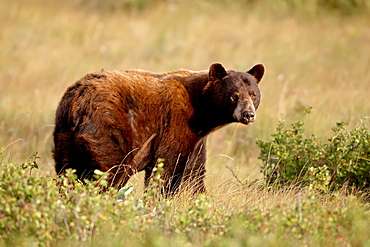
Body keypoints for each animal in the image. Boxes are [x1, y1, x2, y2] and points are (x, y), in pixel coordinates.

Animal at [53, 62, 264, 194]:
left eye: (253, 94)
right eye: (234, 95)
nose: (248, 114)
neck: (201, 113)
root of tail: (78, 102)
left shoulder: (197, 140)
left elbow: (195, 174)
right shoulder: (175, 125)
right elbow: (166, 169)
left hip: (64, 136)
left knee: (68, 173)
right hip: (110, 128)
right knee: (110, 171)